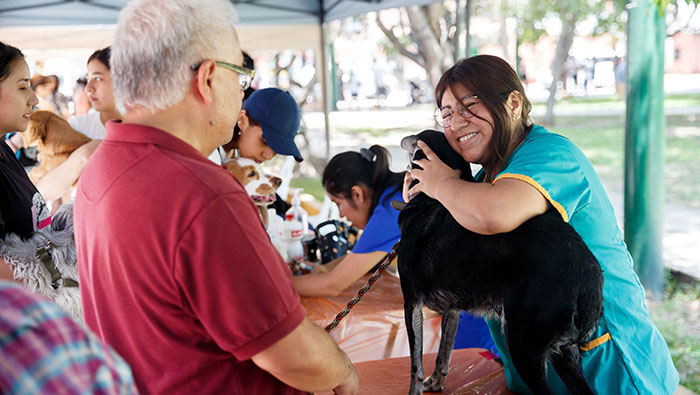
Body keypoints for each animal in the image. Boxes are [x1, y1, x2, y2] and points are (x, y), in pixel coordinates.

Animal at [396, 131, 604, 395]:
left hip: (524, 346)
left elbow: (416, 364)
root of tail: (589, 279)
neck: (431, 200)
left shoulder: (412, 302)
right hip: (566, 354)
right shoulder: (452, 311)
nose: (403, 137)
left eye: (419, 137)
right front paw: (436, 383)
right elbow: (444, 352)